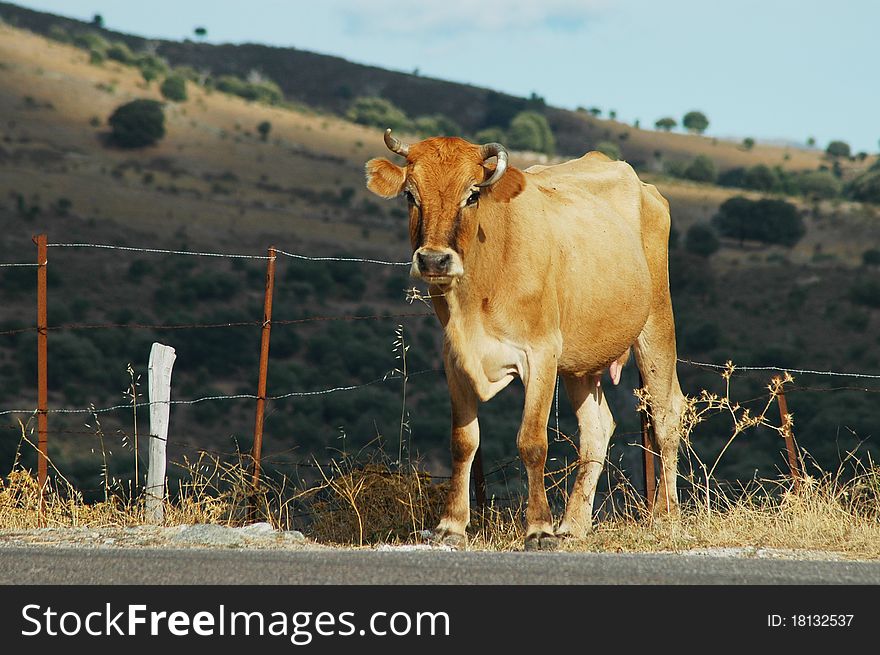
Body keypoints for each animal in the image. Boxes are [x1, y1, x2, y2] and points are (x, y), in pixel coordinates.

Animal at [364, 131, 688, 552]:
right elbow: (463, 441)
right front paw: (451, 525)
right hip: (581, 361)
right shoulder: (455, 357)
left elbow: (532, 443)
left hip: (656, 324)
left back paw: (666, 517)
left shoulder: (540, 354)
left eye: (472, 195)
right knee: (597, 428)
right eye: (410, 195)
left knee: (666, 417)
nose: (434, 260)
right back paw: (573, 524)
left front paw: (538, 529)